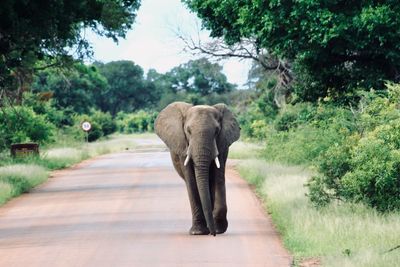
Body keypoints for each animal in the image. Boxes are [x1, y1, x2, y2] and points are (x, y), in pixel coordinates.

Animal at [155, 102, 239, 237]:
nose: (213, 234)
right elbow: (191, 181)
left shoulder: (222, 144)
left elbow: (217, 177)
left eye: (216, 131)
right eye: (188, 131)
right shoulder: (184, 147)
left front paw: (218, 229)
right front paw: (198, 232)